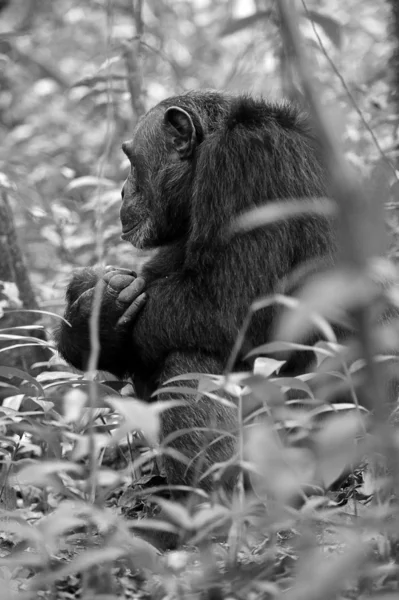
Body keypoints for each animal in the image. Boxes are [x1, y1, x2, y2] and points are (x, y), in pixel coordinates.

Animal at [54, 91, 332, 502]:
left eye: (132, 160)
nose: (122, 191)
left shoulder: (245, 165)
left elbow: (227, 307)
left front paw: (97, 319)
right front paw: (87, 309)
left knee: (187, 359)